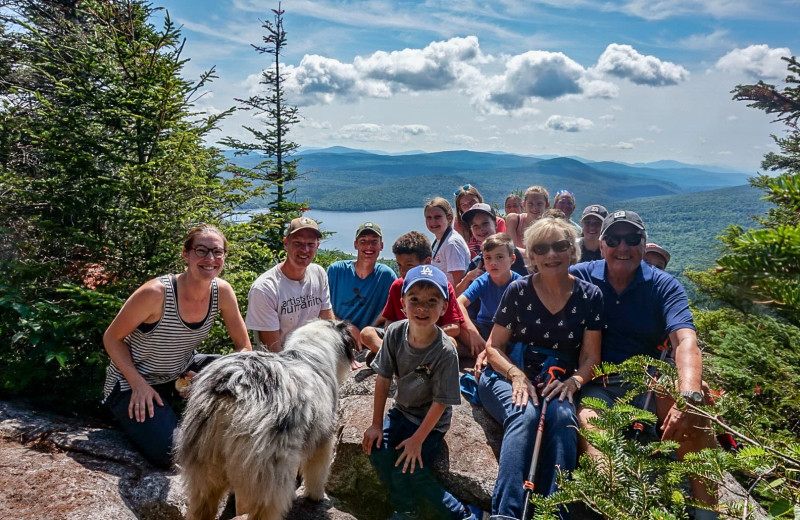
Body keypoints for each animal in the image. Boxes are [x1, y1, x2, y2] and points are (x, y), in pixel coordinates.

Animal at [180, 318, 358, 516]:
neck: (309, 351)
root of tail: (232, 386)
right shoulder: (322, 436)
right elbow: (317, 468)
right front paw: (316, 496)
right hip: (267, 463)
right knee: (265, 506)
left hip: (204, 454)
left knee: (203, 500)